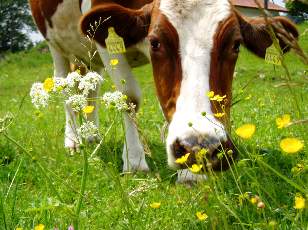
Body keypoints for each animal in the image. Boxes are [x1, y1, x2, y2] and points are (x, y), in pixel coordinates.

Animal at [29, 0, 298, 183]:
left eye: (236, 44)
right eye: (155, 42)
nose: (200, 147)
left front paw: (191, 174)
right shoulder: (103, 38)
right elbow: (130, 97)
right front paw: (134, 161)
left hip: (89, 58)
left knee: (90, 89)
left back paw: (92, 135)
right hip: (56, 45)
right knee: (65, 89)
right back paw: (73, 140)